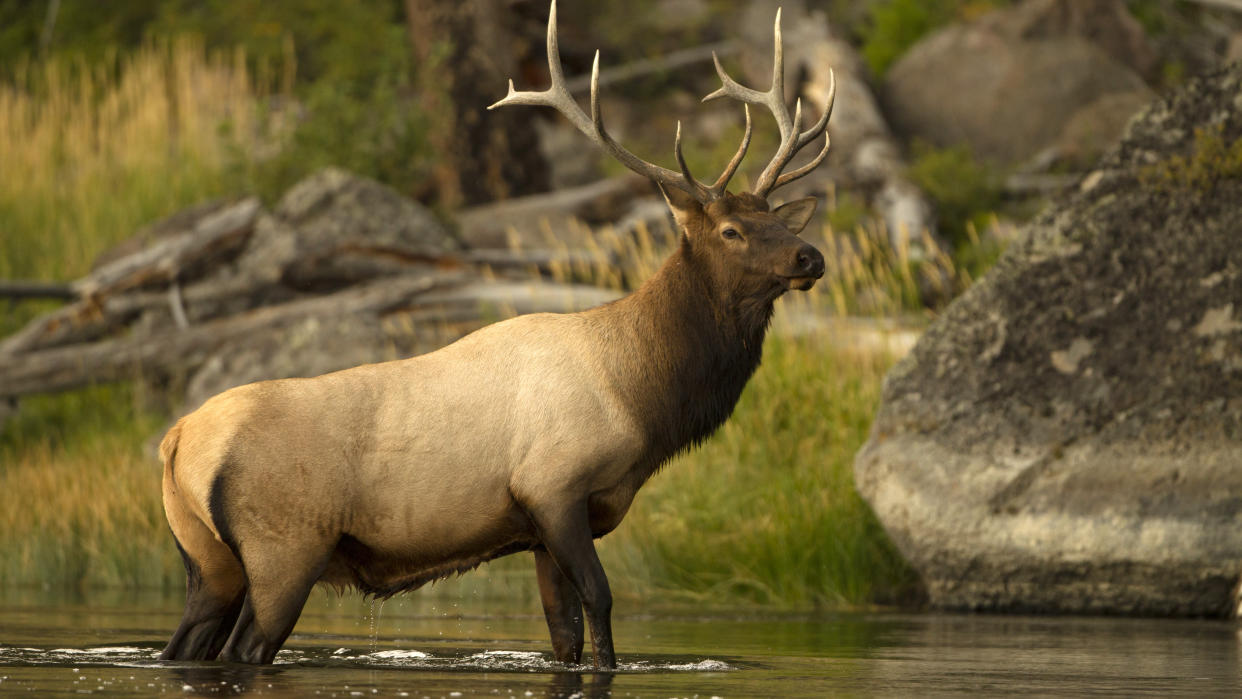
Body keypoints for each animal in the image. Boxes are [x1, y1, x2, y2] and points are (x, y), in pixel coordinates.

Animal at [157, 0, 834, 665]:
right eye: (730, 231)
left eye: (778, 220)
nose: (811, 257)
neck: (643, 399)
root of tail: (178, 439)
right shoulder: (553, 488)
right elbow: (602, 605)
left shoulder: (540, 529)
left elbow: (564, 634)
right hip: (286, 547)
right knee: (245, 650)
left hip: (209, 561)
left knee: (186, 645)